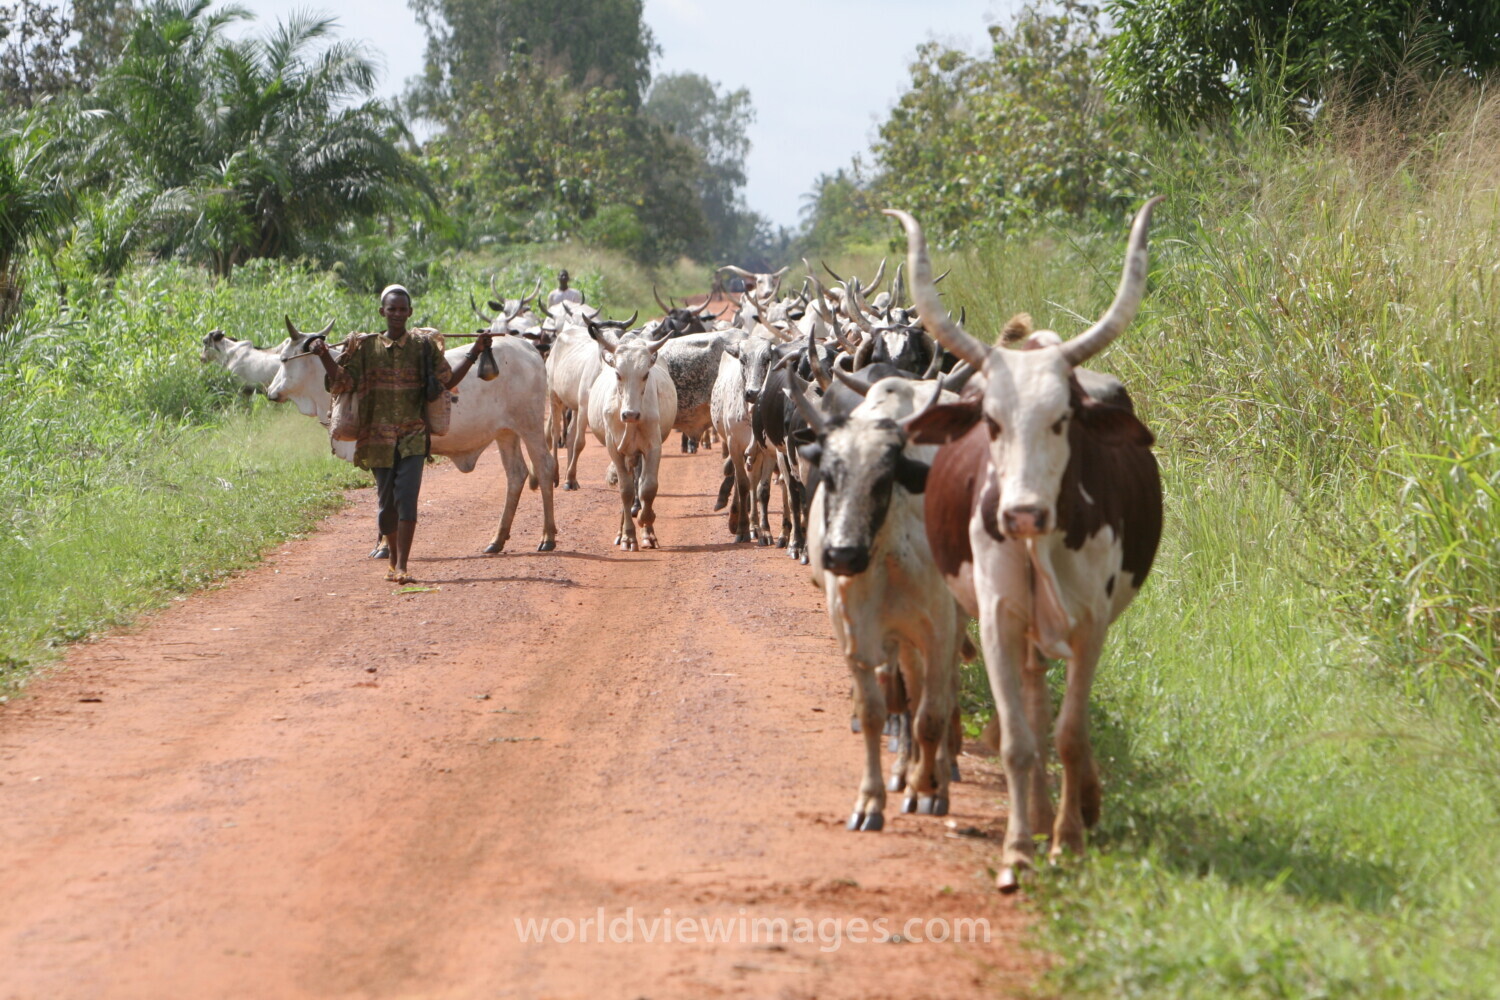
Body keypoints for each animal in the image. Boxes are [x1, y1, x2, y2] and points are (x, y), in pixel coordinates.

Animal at [586, 327, 678, 550]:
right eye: (618, 374)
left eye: (645, 374)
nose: (630, 415)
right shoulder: (615, 450)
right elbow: (625, 491)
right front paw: (628, 536)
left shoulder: (653, 447)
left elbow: (648, 487)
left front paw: (647, 521)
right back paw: (621, 533)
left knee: (641, 482)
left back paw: (646, 531)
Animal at [890, 199, 1165, 893]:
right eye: (990, 421)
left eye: (1062, 418)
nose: (1020, 513)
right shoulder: (994, 616)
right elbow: (1019, 738)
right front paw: (1018, 848)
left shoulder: (1091, 621)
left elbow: (1070, 734)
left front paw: (1069, 840)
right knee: (1035, 702)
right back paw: (1037, 812)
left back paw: (1073, 807)